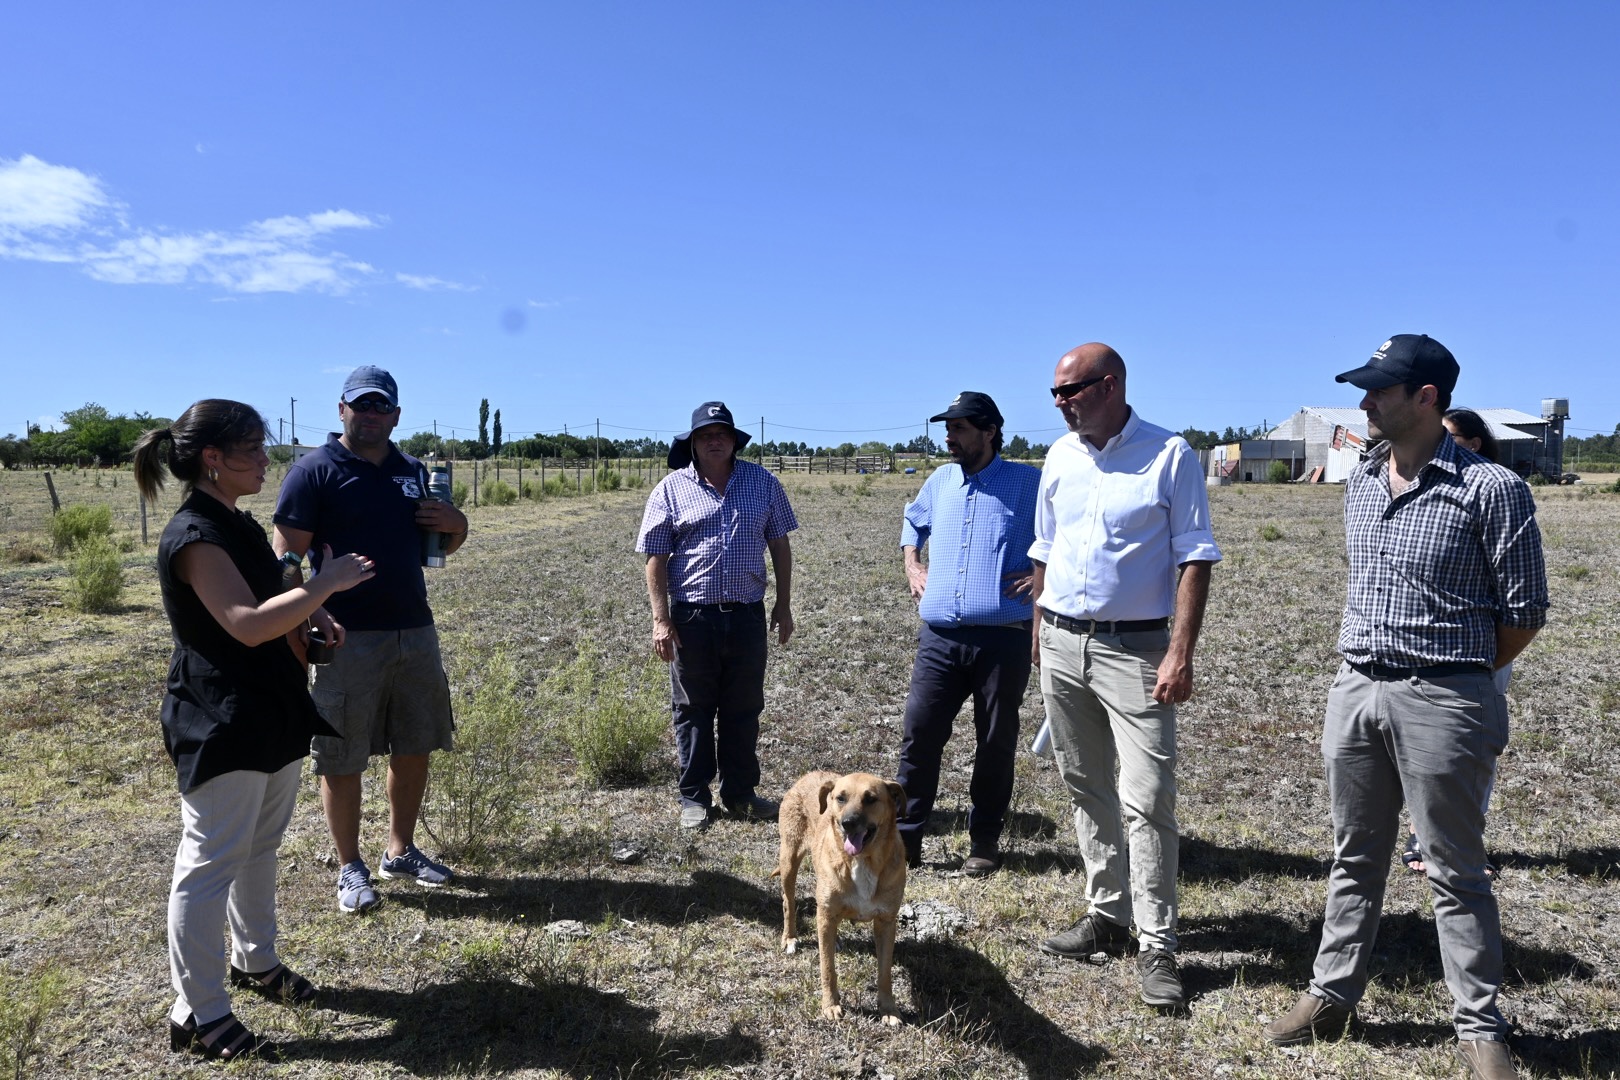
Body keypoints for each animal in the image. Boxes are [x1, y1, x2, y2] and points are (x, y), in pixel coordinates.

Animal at [774, 767, 913, 1023]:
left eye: (871, 799)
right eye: (840, 798)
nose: (848, 824)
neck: (862, 860)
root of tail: (810, 774)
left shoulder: (886, 922)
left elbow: (885, 973)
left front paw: (888, 1009)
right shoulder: (826, 913)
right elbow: (827, 967)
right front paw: (830, 1005)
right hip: (789, 859)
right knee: (788, 902)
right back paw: (789, 938)